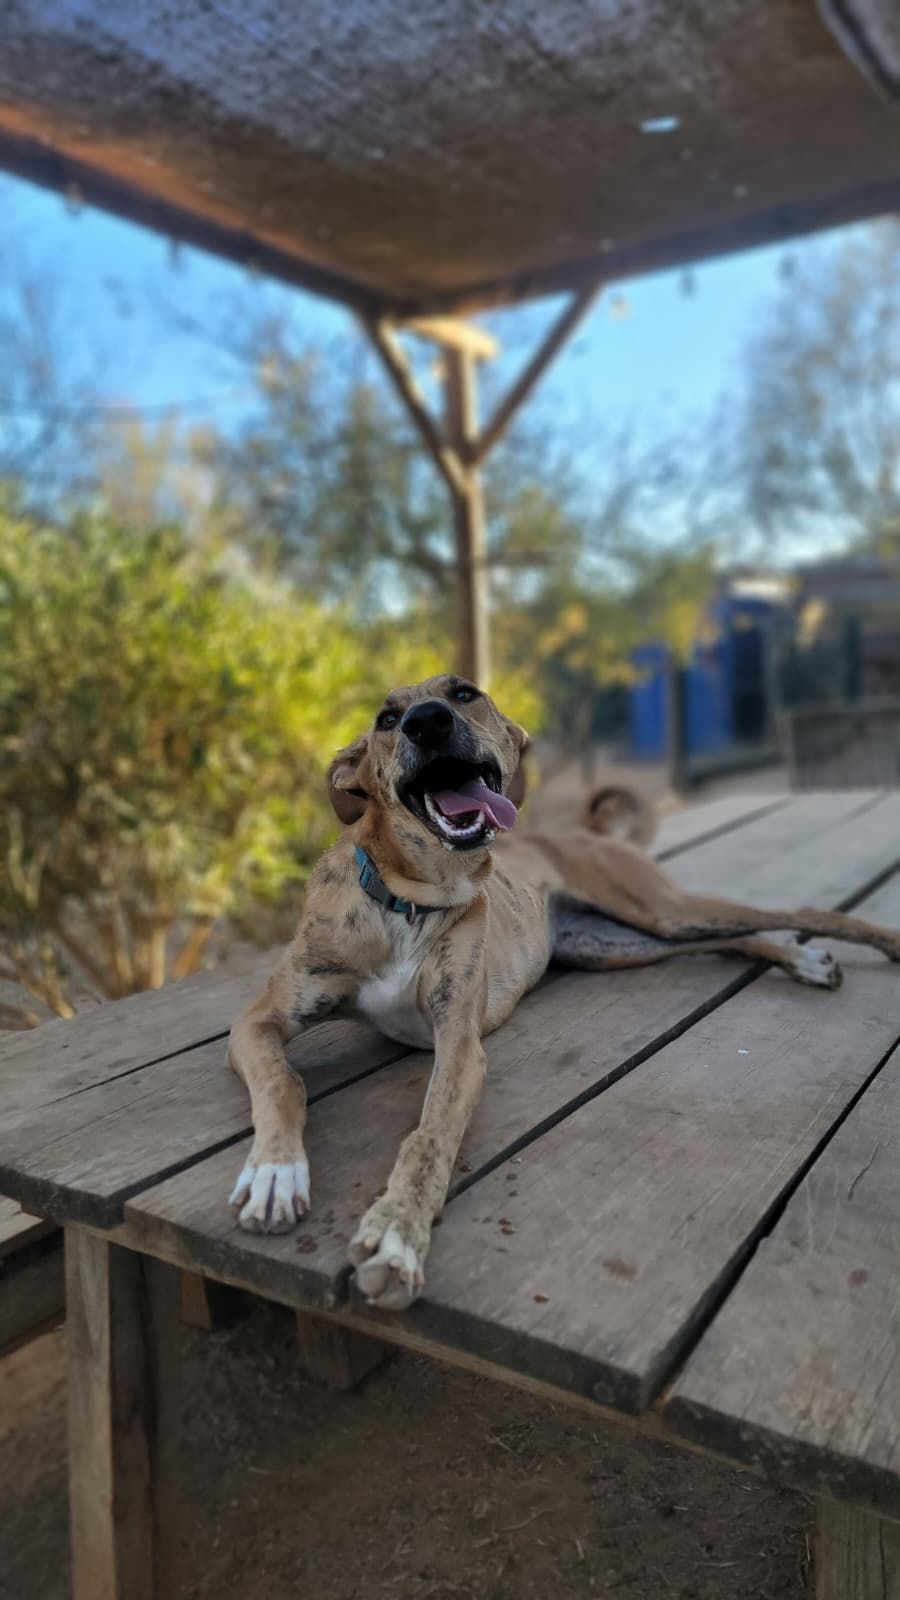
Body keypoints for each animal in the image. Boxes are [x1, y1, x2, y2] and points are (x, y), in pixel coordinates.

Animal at [228, 673, 900, 1310]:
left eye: (464, 693)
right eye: (386, 720)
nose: (427, 721)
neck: (410, 899)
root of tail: (581, 834)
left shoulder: (459, 1042)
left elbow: (429, 1135)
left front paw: (396, 1237)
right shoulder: (257, 1021)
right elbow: (284, 1082)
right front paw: (275, 1171)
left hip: (658, 910)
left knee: (795, 912)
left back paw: (864, 946)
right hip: (619, 943)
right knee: (737, 939)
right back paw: (802, 958)